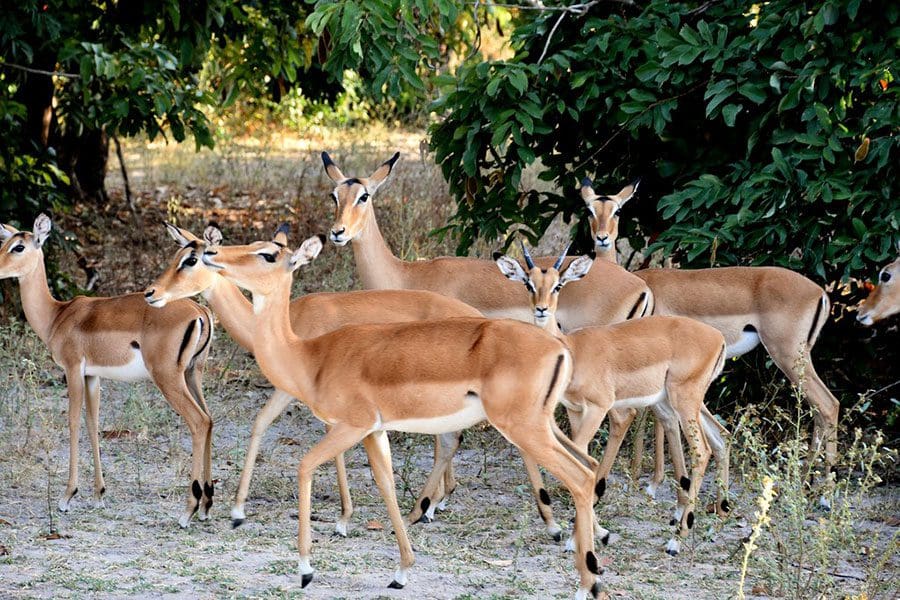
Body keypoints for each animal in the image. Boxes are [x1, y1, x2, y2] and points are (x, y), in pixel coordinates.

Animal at [0, 214, 214, 524]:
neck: (57, 315)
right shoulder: (92, 376)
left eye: (18, 247)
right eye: (3, 243)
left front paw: (67, 497)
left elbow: (73, 422)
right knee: (210, 420)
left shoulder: (73, 370)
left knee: (198, 422)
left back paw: (187, 512)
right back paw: (206, 506)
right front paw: (99, 494)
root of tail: (200, 313)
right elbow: (93, 423)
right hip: (192, 375)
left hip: (168, 378)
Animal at [146, 224, 486, 528]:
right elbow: (261, 423)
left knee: (449, 438)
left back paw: (422, 508)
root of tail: (479, 318)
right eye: (178, 254)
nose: (152, 293)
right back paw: (433, 503)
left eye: (191, 260)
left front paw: (343, 518)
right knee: (448, 438)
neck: (290, 327)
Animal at [198, 231, 604, 600]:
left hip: (525, 428)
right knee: (589, 464)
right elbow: (386, 484)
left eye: (267, 253)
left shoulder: (350, 427)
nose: (210, 253)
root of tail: (559, 347)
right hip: (540, 425)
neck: (309, 357)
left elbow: (304, 466)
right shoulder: (375, 432)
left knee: (580, 477)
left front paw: (305, 569)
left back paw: (586, 582)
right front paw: (402, 572)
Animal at [500, 245, 732, 556]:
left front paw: (578, 537)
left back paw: (676, 541)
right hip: (691, 403)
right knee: (721, 437)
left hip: (684, 402)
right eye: (529, 283)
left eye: (558, 285)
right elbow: (580, 457)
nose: (541, 309)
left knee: (702, 451)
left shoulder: (598, 408)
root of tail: (718, 338)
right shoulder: (575, 410)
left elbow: (583, 459)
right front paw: (587, 534)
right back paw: (716, 520)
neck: (573, 350)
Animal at [580, 175, 840, 492]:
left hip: (787, 355)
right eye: (589, 210)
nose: (602, 238)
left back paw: (823, 491)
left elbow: (650, 415)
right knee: (819, 410)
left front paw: (645, 478)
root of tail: (820, 293)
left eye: (617, 210)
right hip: (799, 360)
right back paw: (806, 484)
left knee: (828, 405)